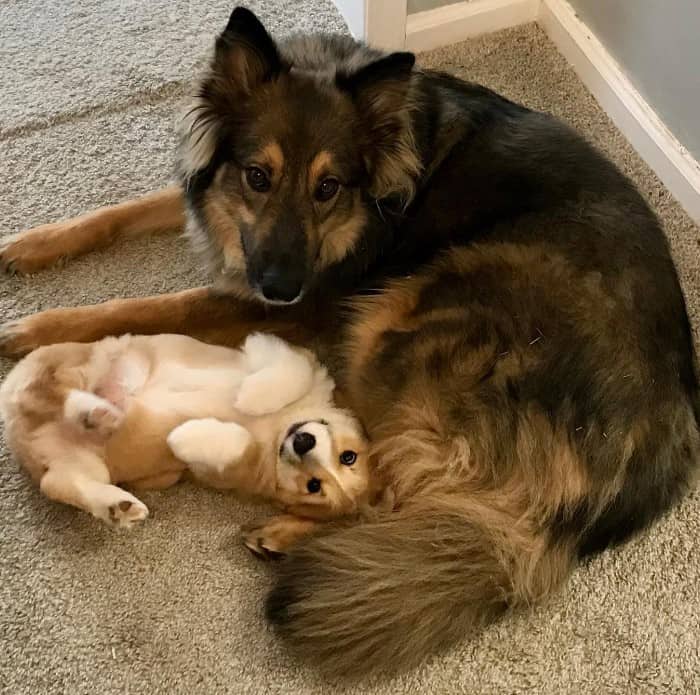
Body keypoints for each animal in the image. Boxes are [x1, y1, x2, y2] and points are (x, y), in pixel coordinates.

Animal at [0, 334, 374, 556]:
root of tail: (22, 433)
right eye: (348, 456)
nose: (302, 442)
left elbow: (235, 443)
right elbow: (290, 374)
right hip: (77, 362)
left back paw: (117, 501)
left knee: (59, 482)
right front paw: (251, 395)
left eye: (314, 486)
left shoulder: (231, 470)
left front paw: (183, 436)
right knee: (45, 389)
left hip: (83, 464)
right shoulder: (294, 358)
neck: (280, 428)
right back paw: (94, 411)